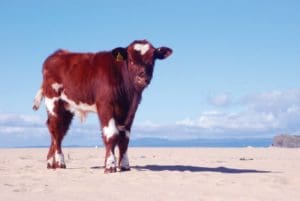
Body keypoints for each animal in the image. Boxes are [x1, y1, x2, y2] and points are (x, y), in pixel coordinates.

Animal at [31, 39, 172, 173]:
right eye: (131, 60)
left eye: (152, 60)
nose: (142, 78)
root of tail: (58, 53)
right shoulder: (105, 105)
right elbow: (112, 135)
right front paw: (110, 165)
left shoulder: (131, 110)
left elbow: (124, 139)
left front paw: (125, 166)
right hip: (54, 102)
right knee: (56, 130)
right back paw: (60, 162)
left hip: (66, 108)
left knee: (59, 131)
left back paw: (51, 163)